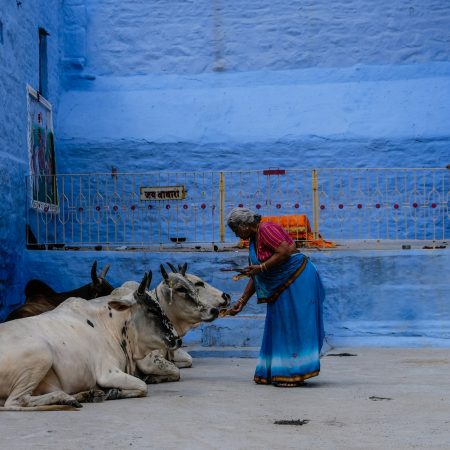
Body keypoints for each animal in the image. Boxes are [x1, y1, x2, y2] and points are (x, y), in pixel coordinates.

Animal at [0, 272, 179, 410]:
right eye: (152, 310)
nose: (177, 339)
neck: (110, 325)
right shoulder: (107, 373)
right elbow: (143, 386)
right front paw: (114, 392)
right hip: (43, 353)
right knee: (16, 401)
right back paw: (68, 399)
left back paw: (85, 395)